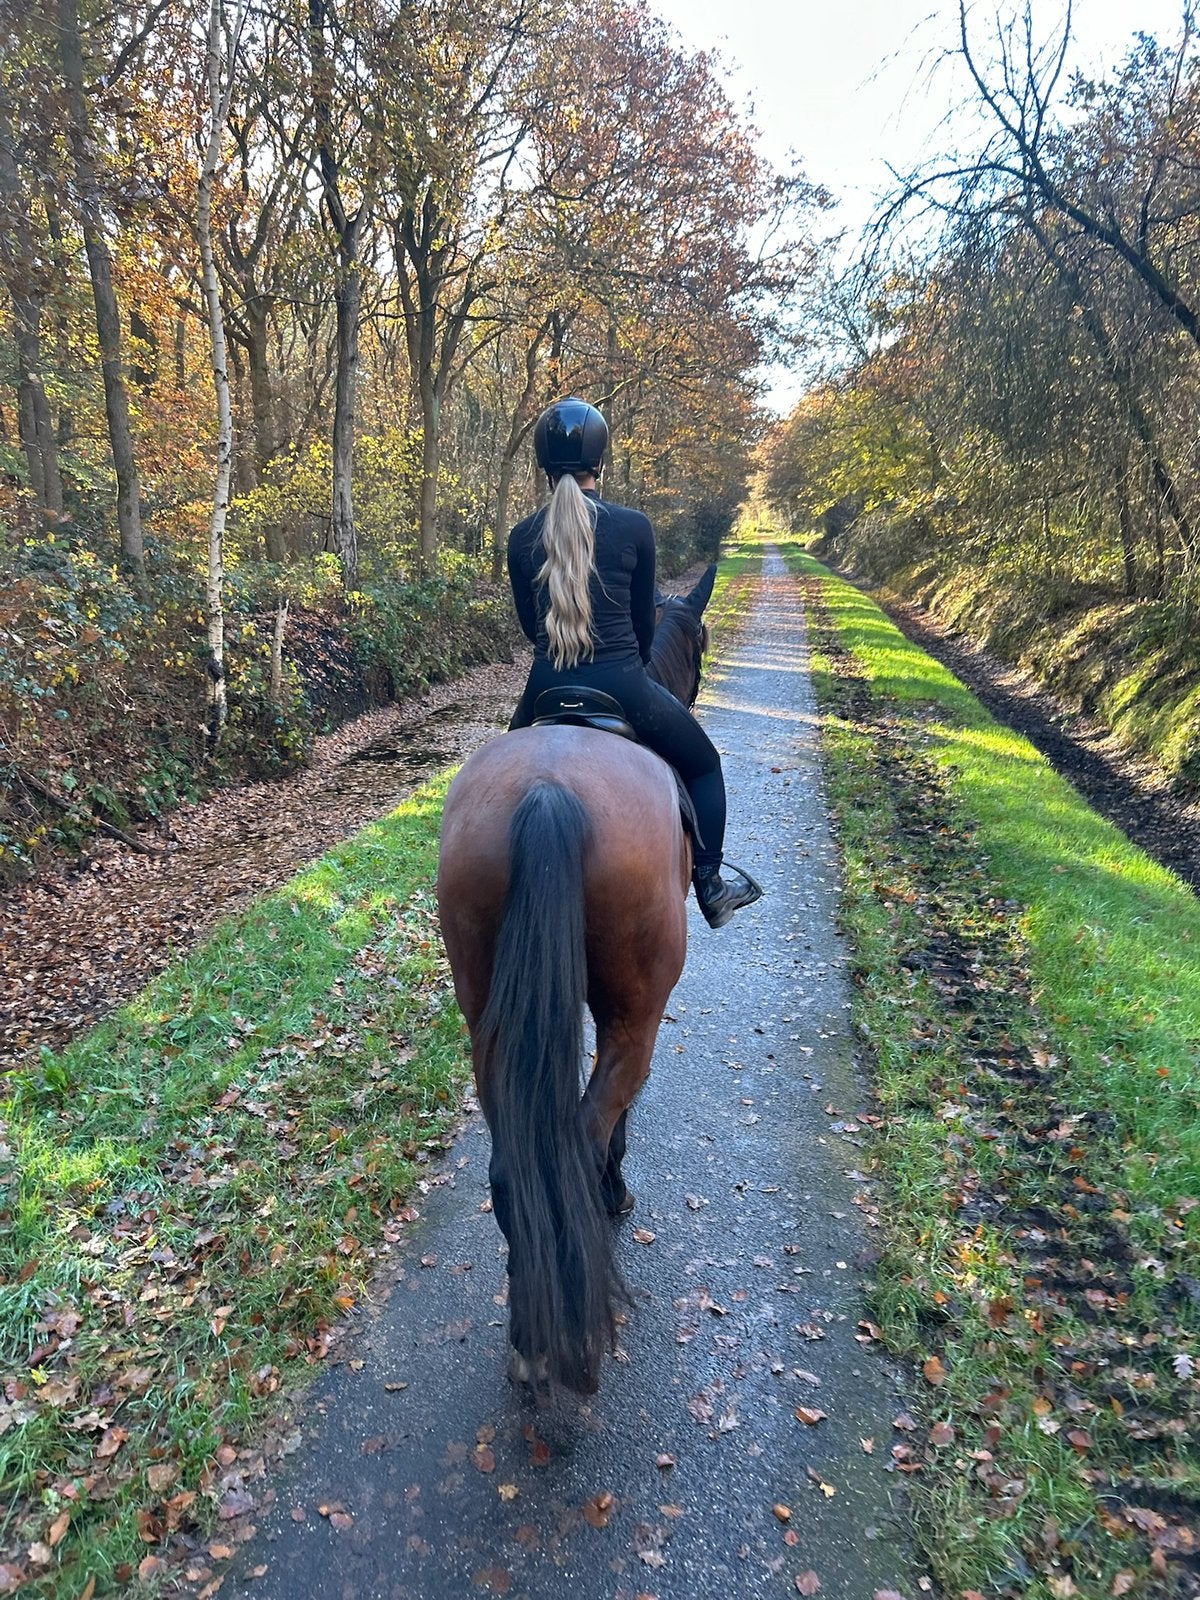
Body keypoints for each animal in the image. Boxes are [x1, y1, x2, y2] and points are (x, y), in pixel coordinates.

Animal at [436, 564, 716, 1394]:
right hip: (638, 1014)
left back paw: (530, 1333)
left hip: (487, 1022)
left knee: (512, 1167)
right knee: (590, 1135)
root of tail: (548, 789)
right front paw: (618, 1196)